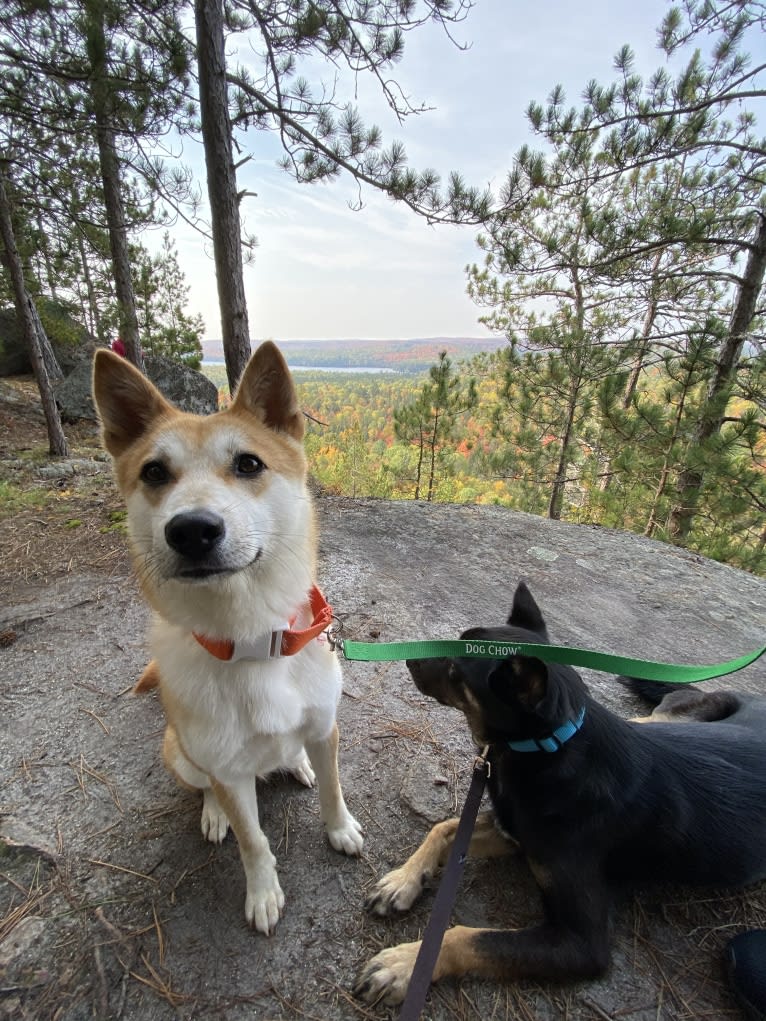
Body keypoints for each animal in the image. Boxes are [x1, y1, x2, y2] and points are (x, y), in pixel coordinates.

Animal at [92, 341, 363, 935]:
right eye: (154, 472)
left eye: (249, 464)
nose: (192, 530)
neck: (255, 641)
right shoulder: (229, 772)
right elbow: (253, 840)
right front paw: (263, 892)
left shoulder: (326, 727)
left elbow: (334, 789)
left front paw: (339, 829)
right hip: (183, 754)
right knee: (206, 789)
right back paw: (214, 813)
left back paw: (297, 763)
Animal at [357, 584, 766, 1004]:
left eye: (457, 669)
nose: (408, 658)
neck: (549, 747)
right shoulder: (514, 832)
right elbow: (444, 827)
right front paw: (403, 881)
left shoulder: (580, 944)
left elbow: (462, 937)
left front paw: (405, 964)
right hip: (669, 721)